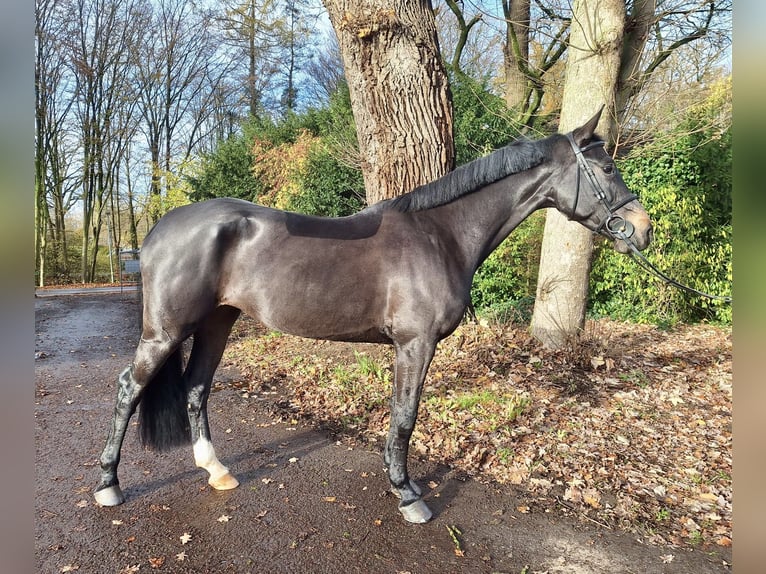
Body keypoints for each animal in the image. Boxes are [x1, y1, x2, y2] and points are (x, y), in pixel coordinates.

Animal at [94, 109, 653, 523]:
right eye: (606, 168)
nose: (642, 230)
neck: (441, 234)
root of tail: (158, 229)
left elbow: (400, 416)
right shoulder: (415, 343)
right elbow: (405, 418)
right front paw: (408, 494)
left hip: (218, 322)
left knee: (195, 388)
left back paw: (216, 471)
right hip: (166, 331)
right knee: (127, 388)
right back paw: (108, 485)